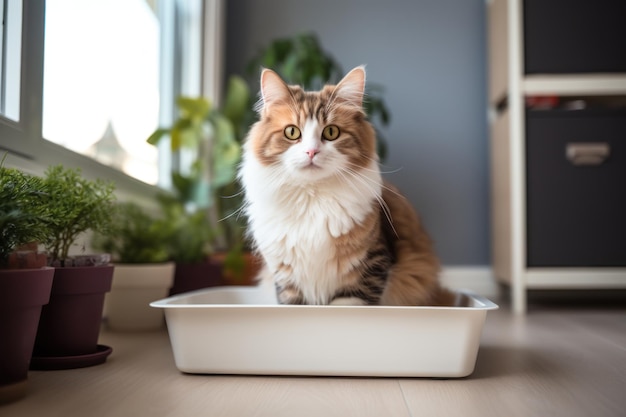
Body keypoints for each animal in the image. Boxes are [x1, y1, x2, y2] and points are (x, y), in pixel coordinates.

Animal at [236, 65, 450, 306]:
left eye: (331, 132)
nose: (311, 152)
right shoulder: (287, 280)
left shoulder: (369, 270)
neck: (312, 200)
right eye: (292, 132)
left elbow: (346, 305)